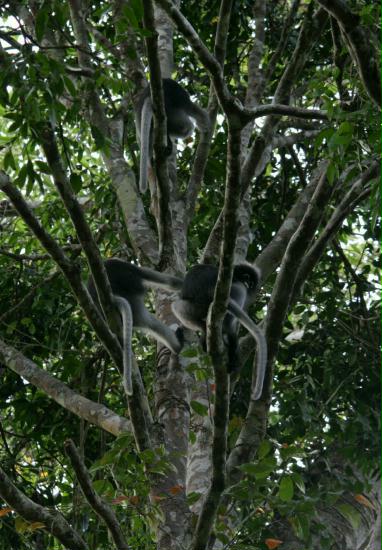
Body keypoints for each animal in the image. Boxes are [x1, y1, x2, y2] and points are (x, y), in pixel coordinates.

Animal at [172, 264, 268, 402]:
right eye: (248, 281)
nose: (247, 284)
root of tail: (211, 292)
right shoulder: (237, 286)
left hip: (193, 308)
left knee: (178, 307)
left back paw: (205, 334)